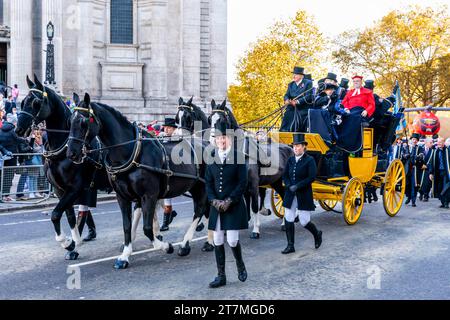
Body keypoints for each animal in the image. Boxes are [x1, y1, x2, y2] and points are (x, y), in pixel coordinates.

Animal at [16, 75, 111, 260]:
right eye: (22, 101)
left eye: (36, 102)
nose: (18, 129)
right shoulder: (60, 189)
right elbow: (69, 216)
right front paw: (73, 244)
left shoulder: (75, 188)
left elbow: (55, 214)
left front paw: (66, 242)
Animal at [67, 94, 212, 268]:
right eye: (70, 121)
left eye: (83, 122)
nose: (71, 153)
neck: (131, 153)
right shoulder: (122, 197)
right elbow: (127, 226)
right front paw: (125, 255)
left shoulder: (149, 195)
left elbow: (147, 228)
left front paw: (166, 246)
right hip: (195, 187)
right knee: (204, 209)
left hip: (202, 186)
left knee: (200, 210)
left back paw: (186, 244)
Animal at [207, 100, 292, 238]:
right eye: (210, 119)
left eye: (221, 119)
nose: (213, 141)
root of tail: (289, 147)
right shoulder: (240, 185)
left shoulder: (253, 185)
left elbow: (254, 207)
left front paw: (256, 230)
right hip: (276, 181)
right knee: (283, 196)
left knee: (285, 199)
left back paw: (285, 223)